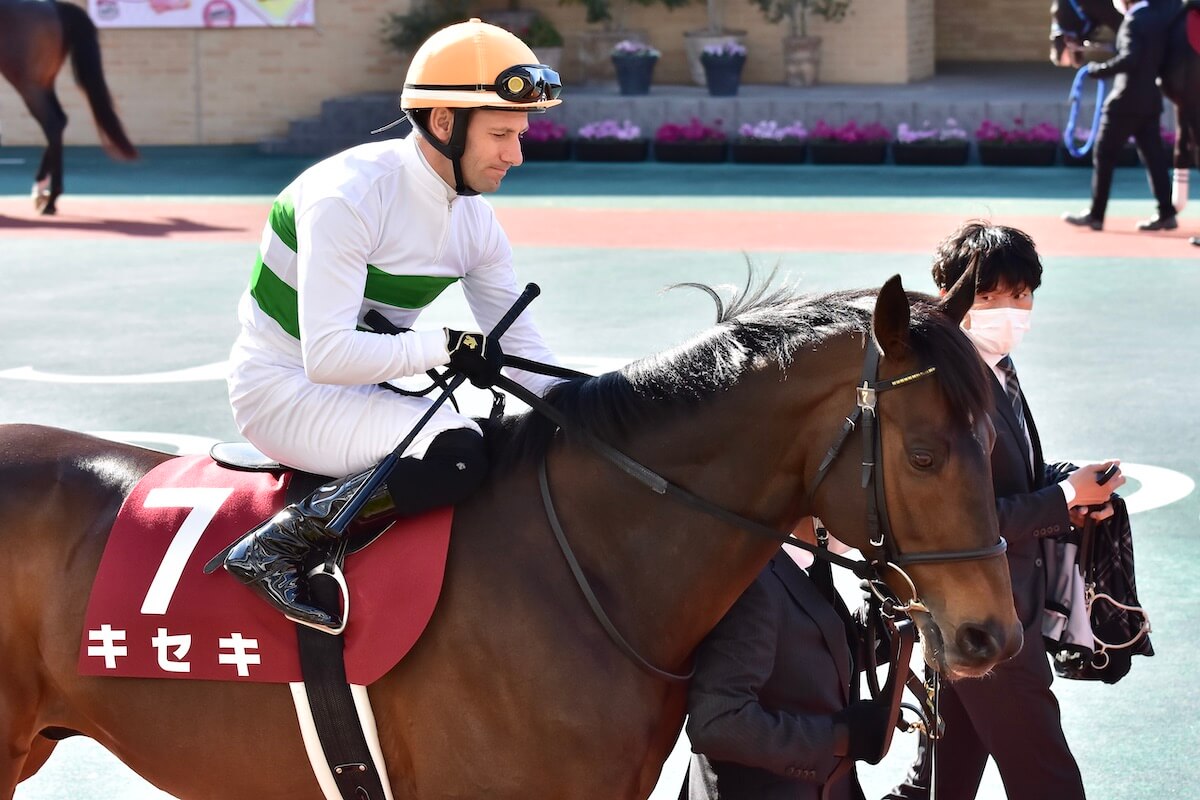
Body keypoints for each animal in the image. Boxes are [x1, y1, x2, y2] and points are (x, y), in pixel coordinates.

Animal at [0, 0, 137, 215]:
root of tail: (53, 6)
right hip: (44, 82)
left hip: (29, 84)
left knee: (52, 123)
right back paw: (41, 190)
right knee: (60, 120)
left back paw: (50, 200)